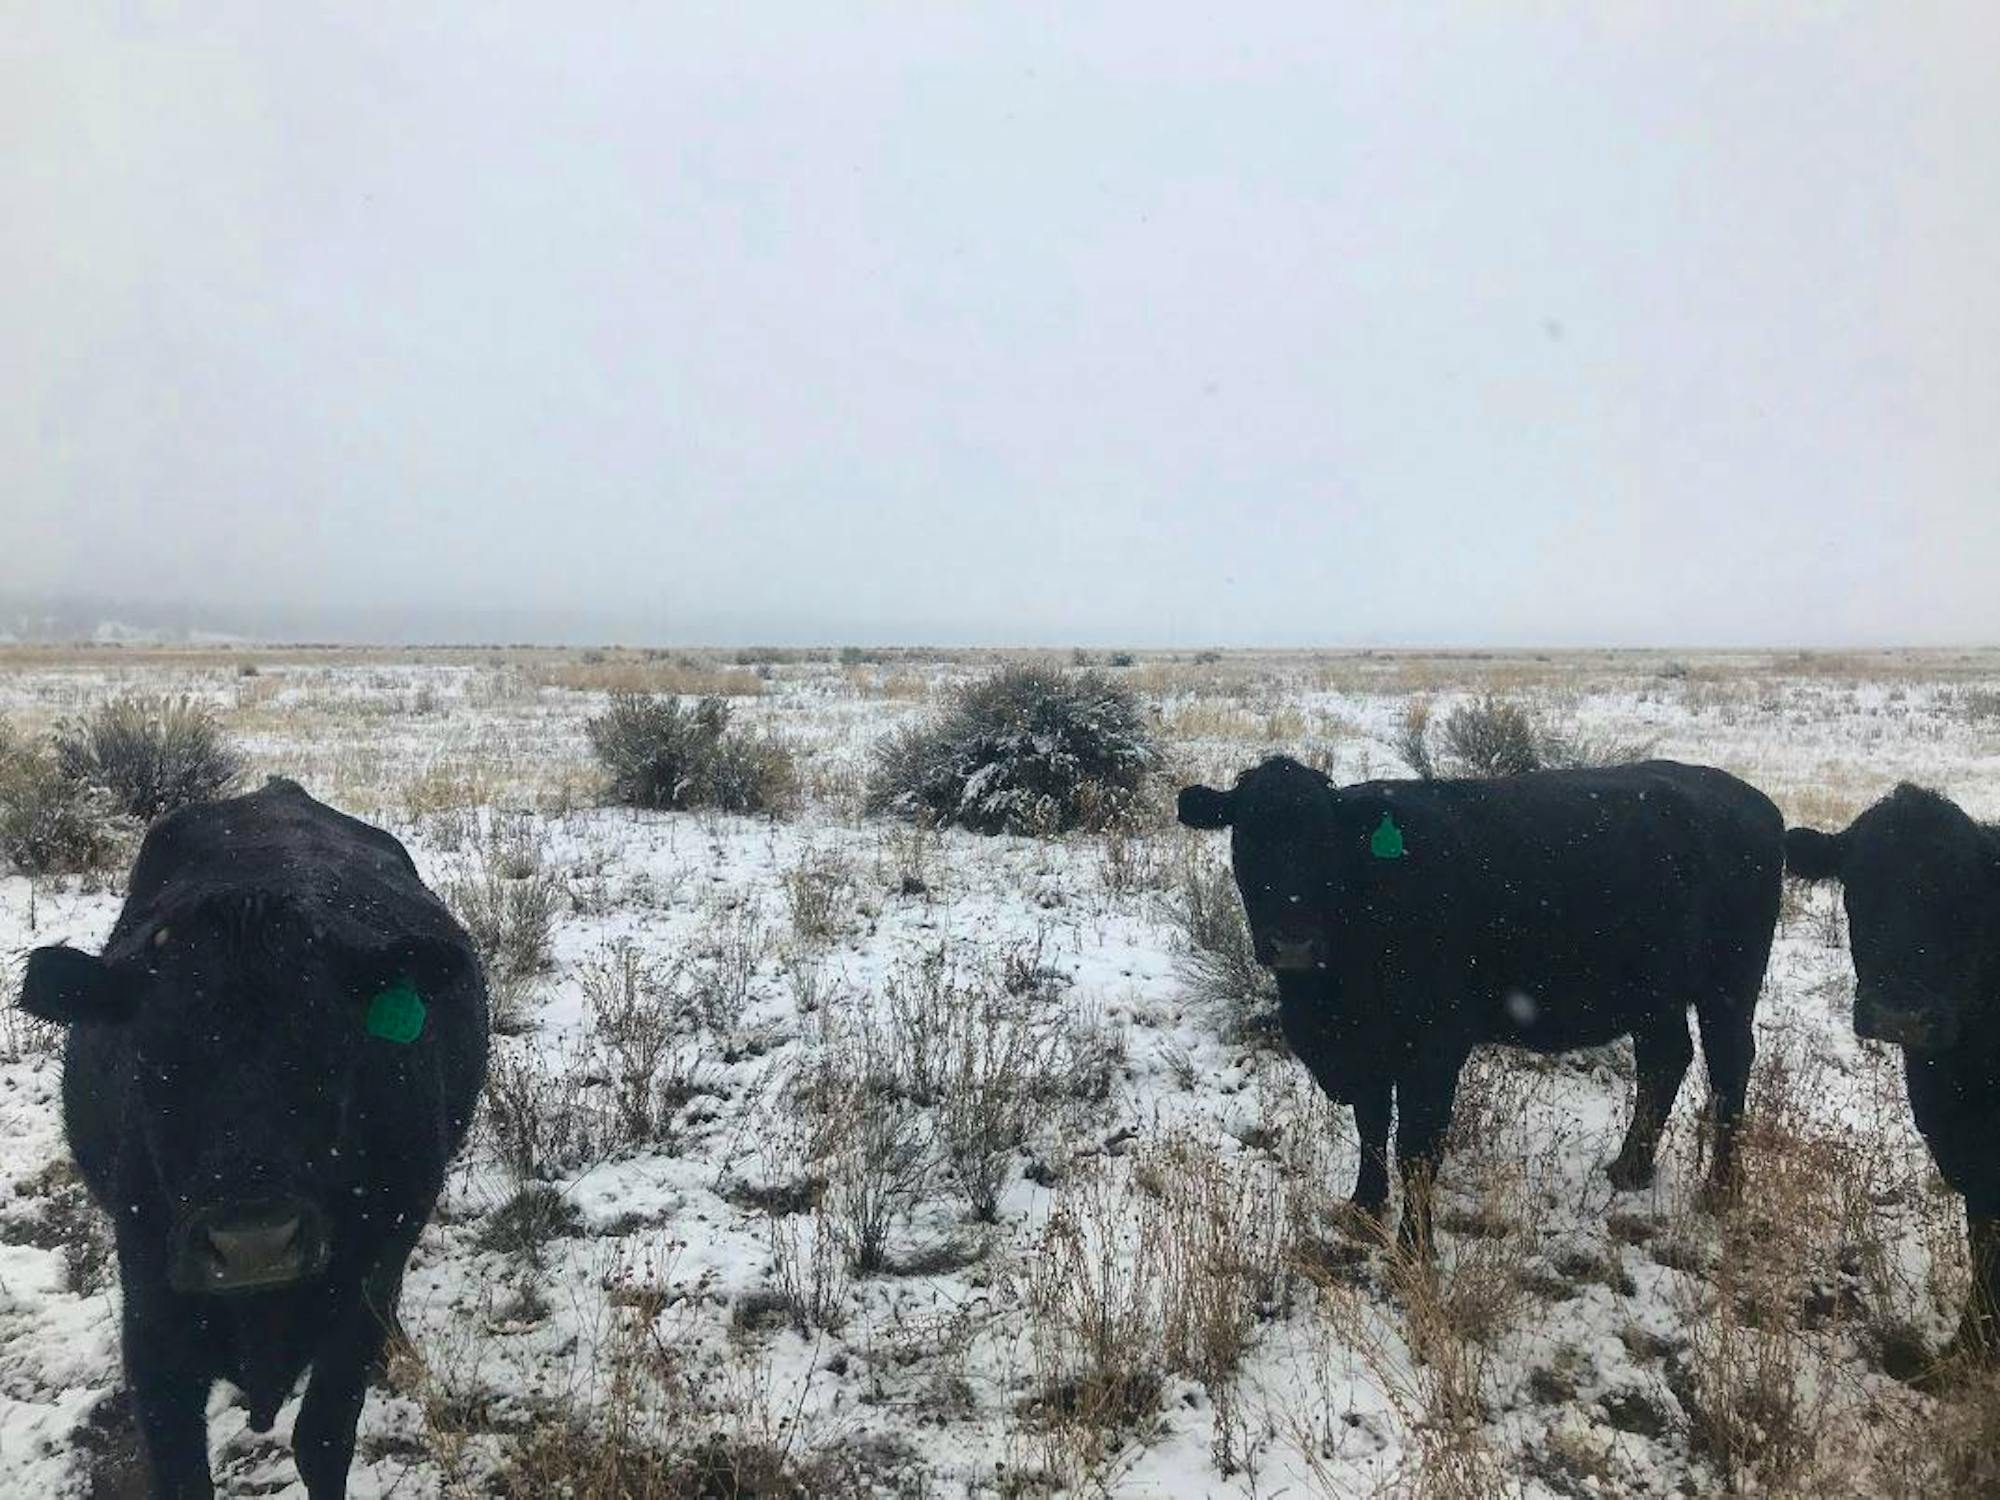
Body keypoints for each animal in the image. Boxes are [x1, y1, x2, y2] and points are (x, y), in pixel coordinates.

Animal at [13, 780, 490, 1496]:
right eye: (152, 1054)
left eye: (332, 1044)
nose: (253, 1243)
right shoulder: (153, 1333)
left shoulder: (358, 1299)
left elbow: (322, 1440)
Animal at [1168, 752, 1784, 1256]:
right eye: (1247, 837)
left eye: (1327, 843)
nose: (1294, 941)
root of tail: (1752, 802)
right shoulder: (1368, 1048)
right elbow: (1371, 1125)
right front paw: (1363, 1206)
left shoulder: (1436, 1043)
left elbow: (1416, 1147)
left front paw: (1414, 1250)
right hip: (1655, 995)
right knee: (1665, 1058)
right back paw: (1630, 1168)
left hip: (1730, 985)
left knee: (1729, 1066)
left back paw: (1720, 1189)